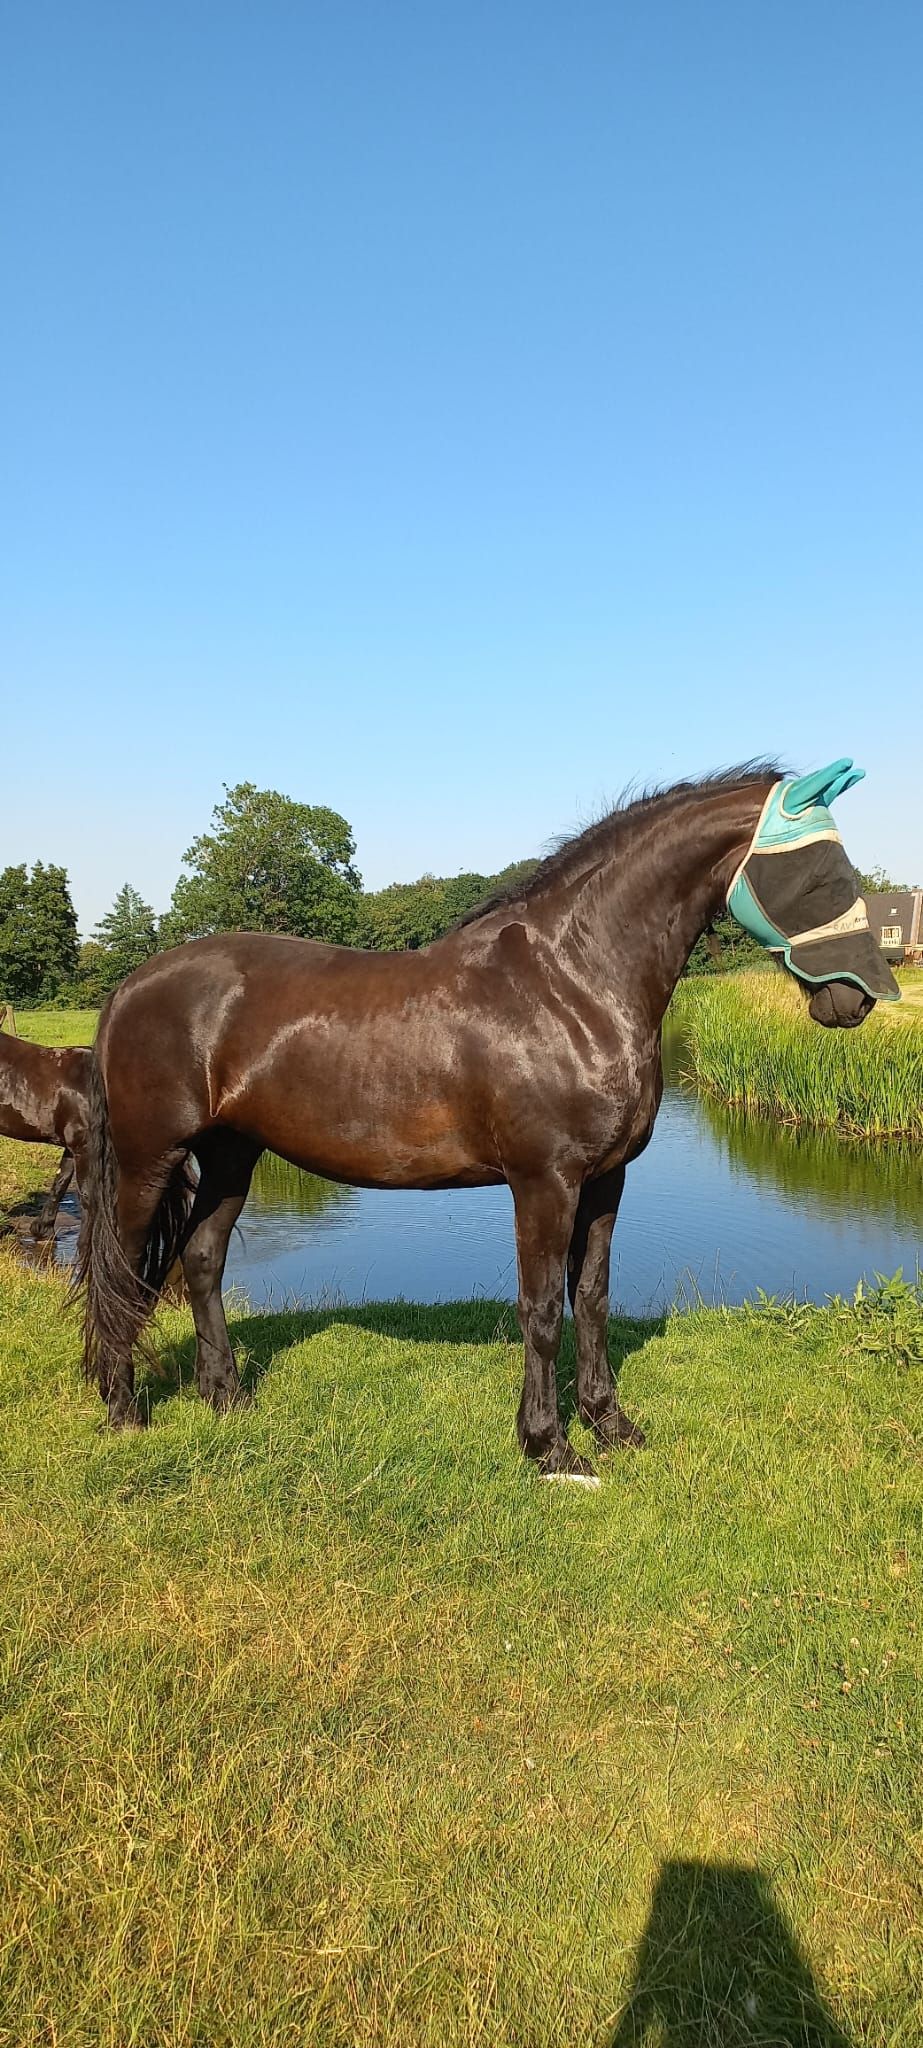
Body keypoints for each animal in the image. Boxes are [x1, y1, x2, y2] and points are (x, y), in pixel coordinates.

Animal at [76, 760, 898, 1476]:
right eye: (822, 872)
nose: (862, 996)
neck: (570, 984)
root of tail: (128, 988)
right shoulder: (544, 1182)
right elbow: (539, 1309)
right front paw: (549, 1448)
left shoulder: (605, 1181)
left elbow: (590, 1300)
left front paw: (611, 1427)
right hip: (150, 1160)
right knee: (119, 1267)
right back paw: (123, 1410)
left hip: (231, 1156)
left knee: (200, 1260)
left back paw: (226, 1397)